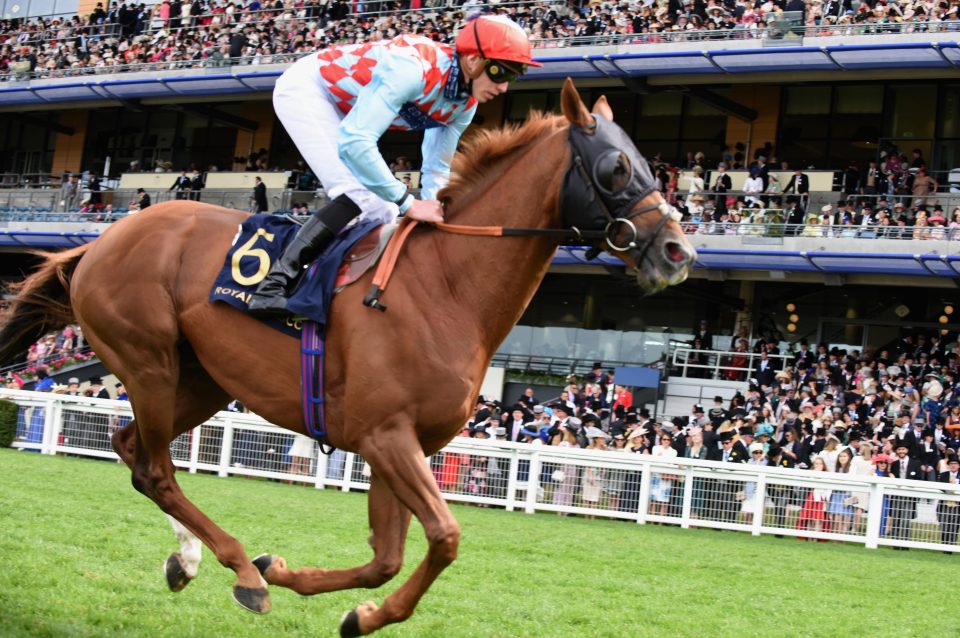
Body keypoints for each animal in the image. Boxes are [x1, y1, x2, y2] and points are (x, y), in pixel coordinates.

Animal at [0, 80, 692, 638]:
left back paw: (192, 559)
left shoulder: (401, 443)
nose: (678, 252)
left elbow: (386, 557)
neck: (445, 286)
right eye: (616, 167)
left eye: (651, 165)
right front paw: (296, 584)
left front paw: (321, 592)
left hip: (201, 379)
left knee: (130, 449)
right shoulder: (385, 435)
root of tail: (100, 242)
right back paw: (238, 568)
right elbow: (445, 538)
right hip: (148, 362)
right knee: (155, 469)